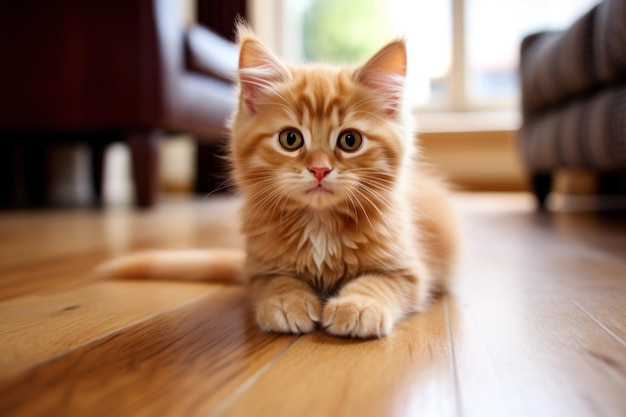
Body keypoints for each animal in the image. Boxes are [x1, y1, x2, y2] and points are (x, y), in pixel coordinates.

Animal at [98, 25, 458, 338]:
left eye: (350, 141)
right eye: (290, 139)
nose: (320, 170)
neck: (319, 224)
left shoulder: (411, 271)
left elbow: (377, 281)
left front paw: (358, 306)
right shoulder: (258, 269)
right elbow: (276, 282)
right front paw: (287, 302)